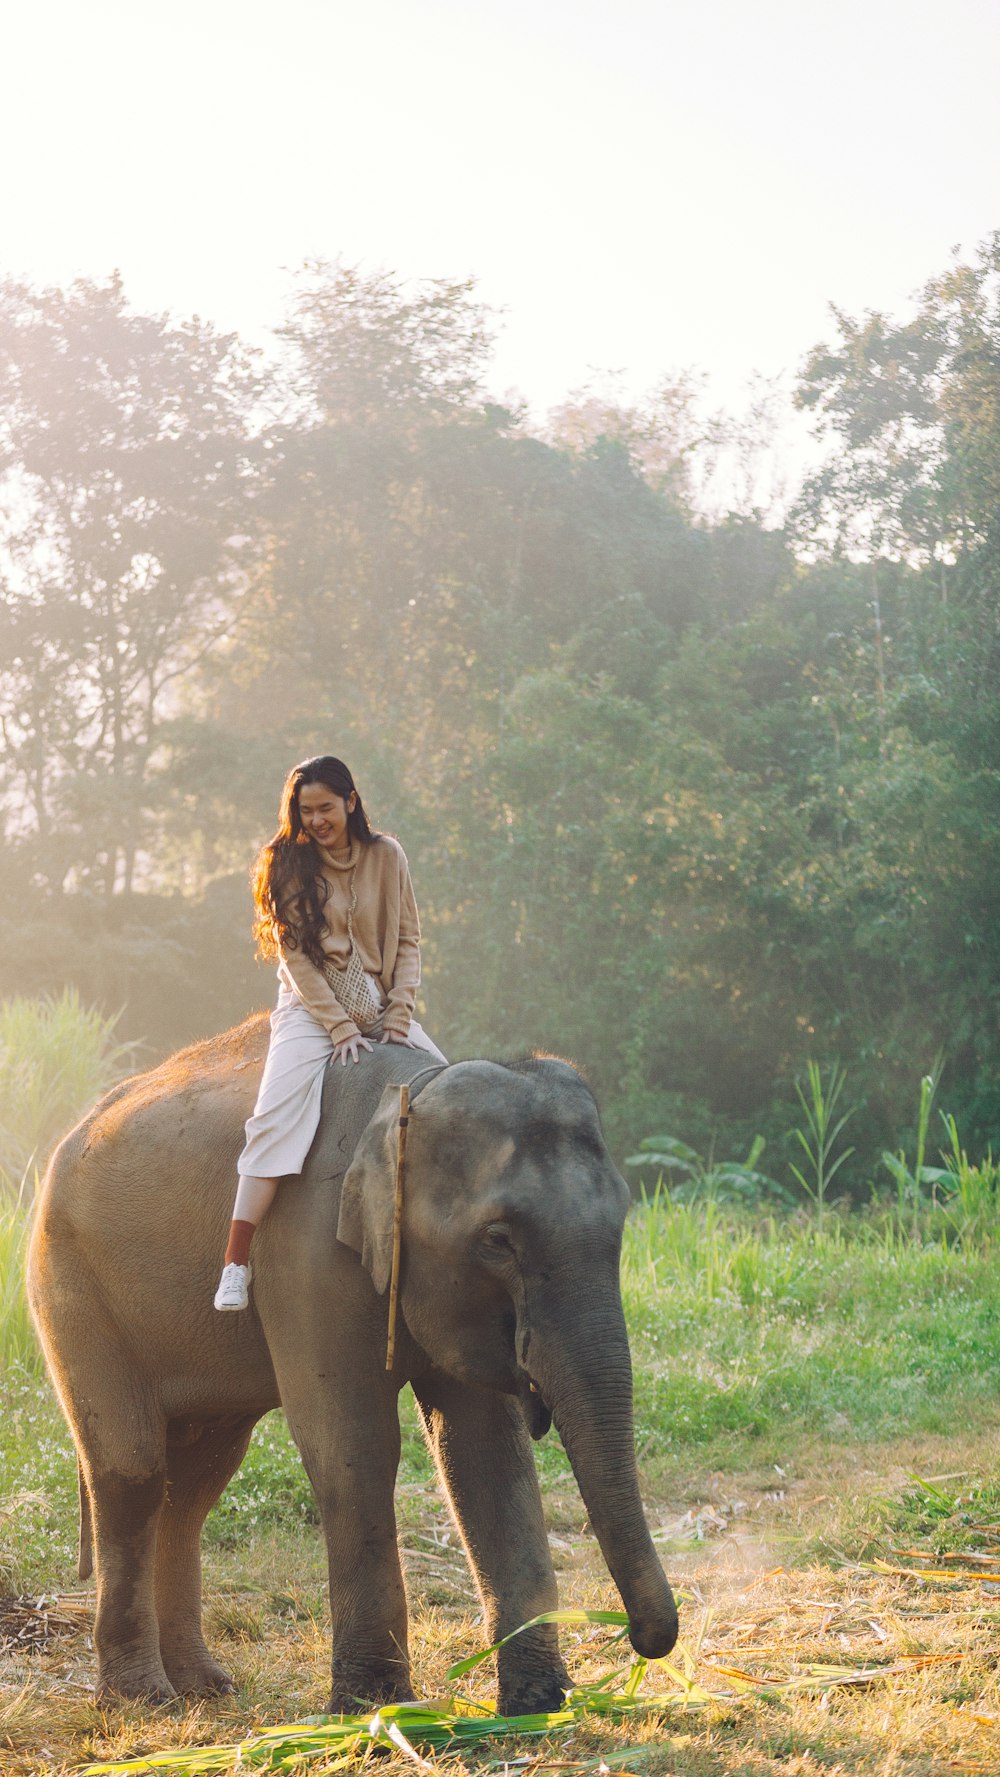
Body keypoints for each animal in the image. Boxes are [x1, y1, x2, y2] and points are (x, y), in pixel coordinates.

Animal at [27, 1023, 682, 1713]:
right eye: (497, 1240)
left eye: (622, 1219)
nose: (640, 1639)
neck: (408, 1096)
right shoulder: (304, 1248)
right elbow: (354, 1442)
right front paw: (373, 1707)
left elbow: (482, 1449)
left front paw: (536, 1704)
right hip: (70, 1288)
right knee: (133, 1473)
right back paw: (145, 1700)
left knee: (195, 1484)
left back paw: (204, 1688)